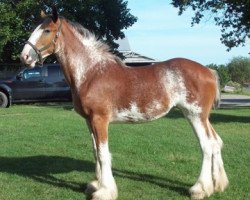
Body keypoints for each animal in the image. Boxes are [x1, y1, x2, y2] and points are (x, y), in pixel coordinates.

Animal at [21, 7, 229, 199]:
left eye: (47, 30)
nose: (24, 56)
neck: (91, 72)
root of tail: (209, 71)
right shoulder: (89, 120)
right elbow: (95, 152)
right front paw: (95, 185)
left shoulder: (100, 120)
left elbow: (103, 154)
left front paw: (104, 191)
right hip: (202, 117)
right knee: (216, 142)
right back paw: (218, 184)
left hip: (195, 115)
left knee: (206, 146)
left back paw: (200, 188)